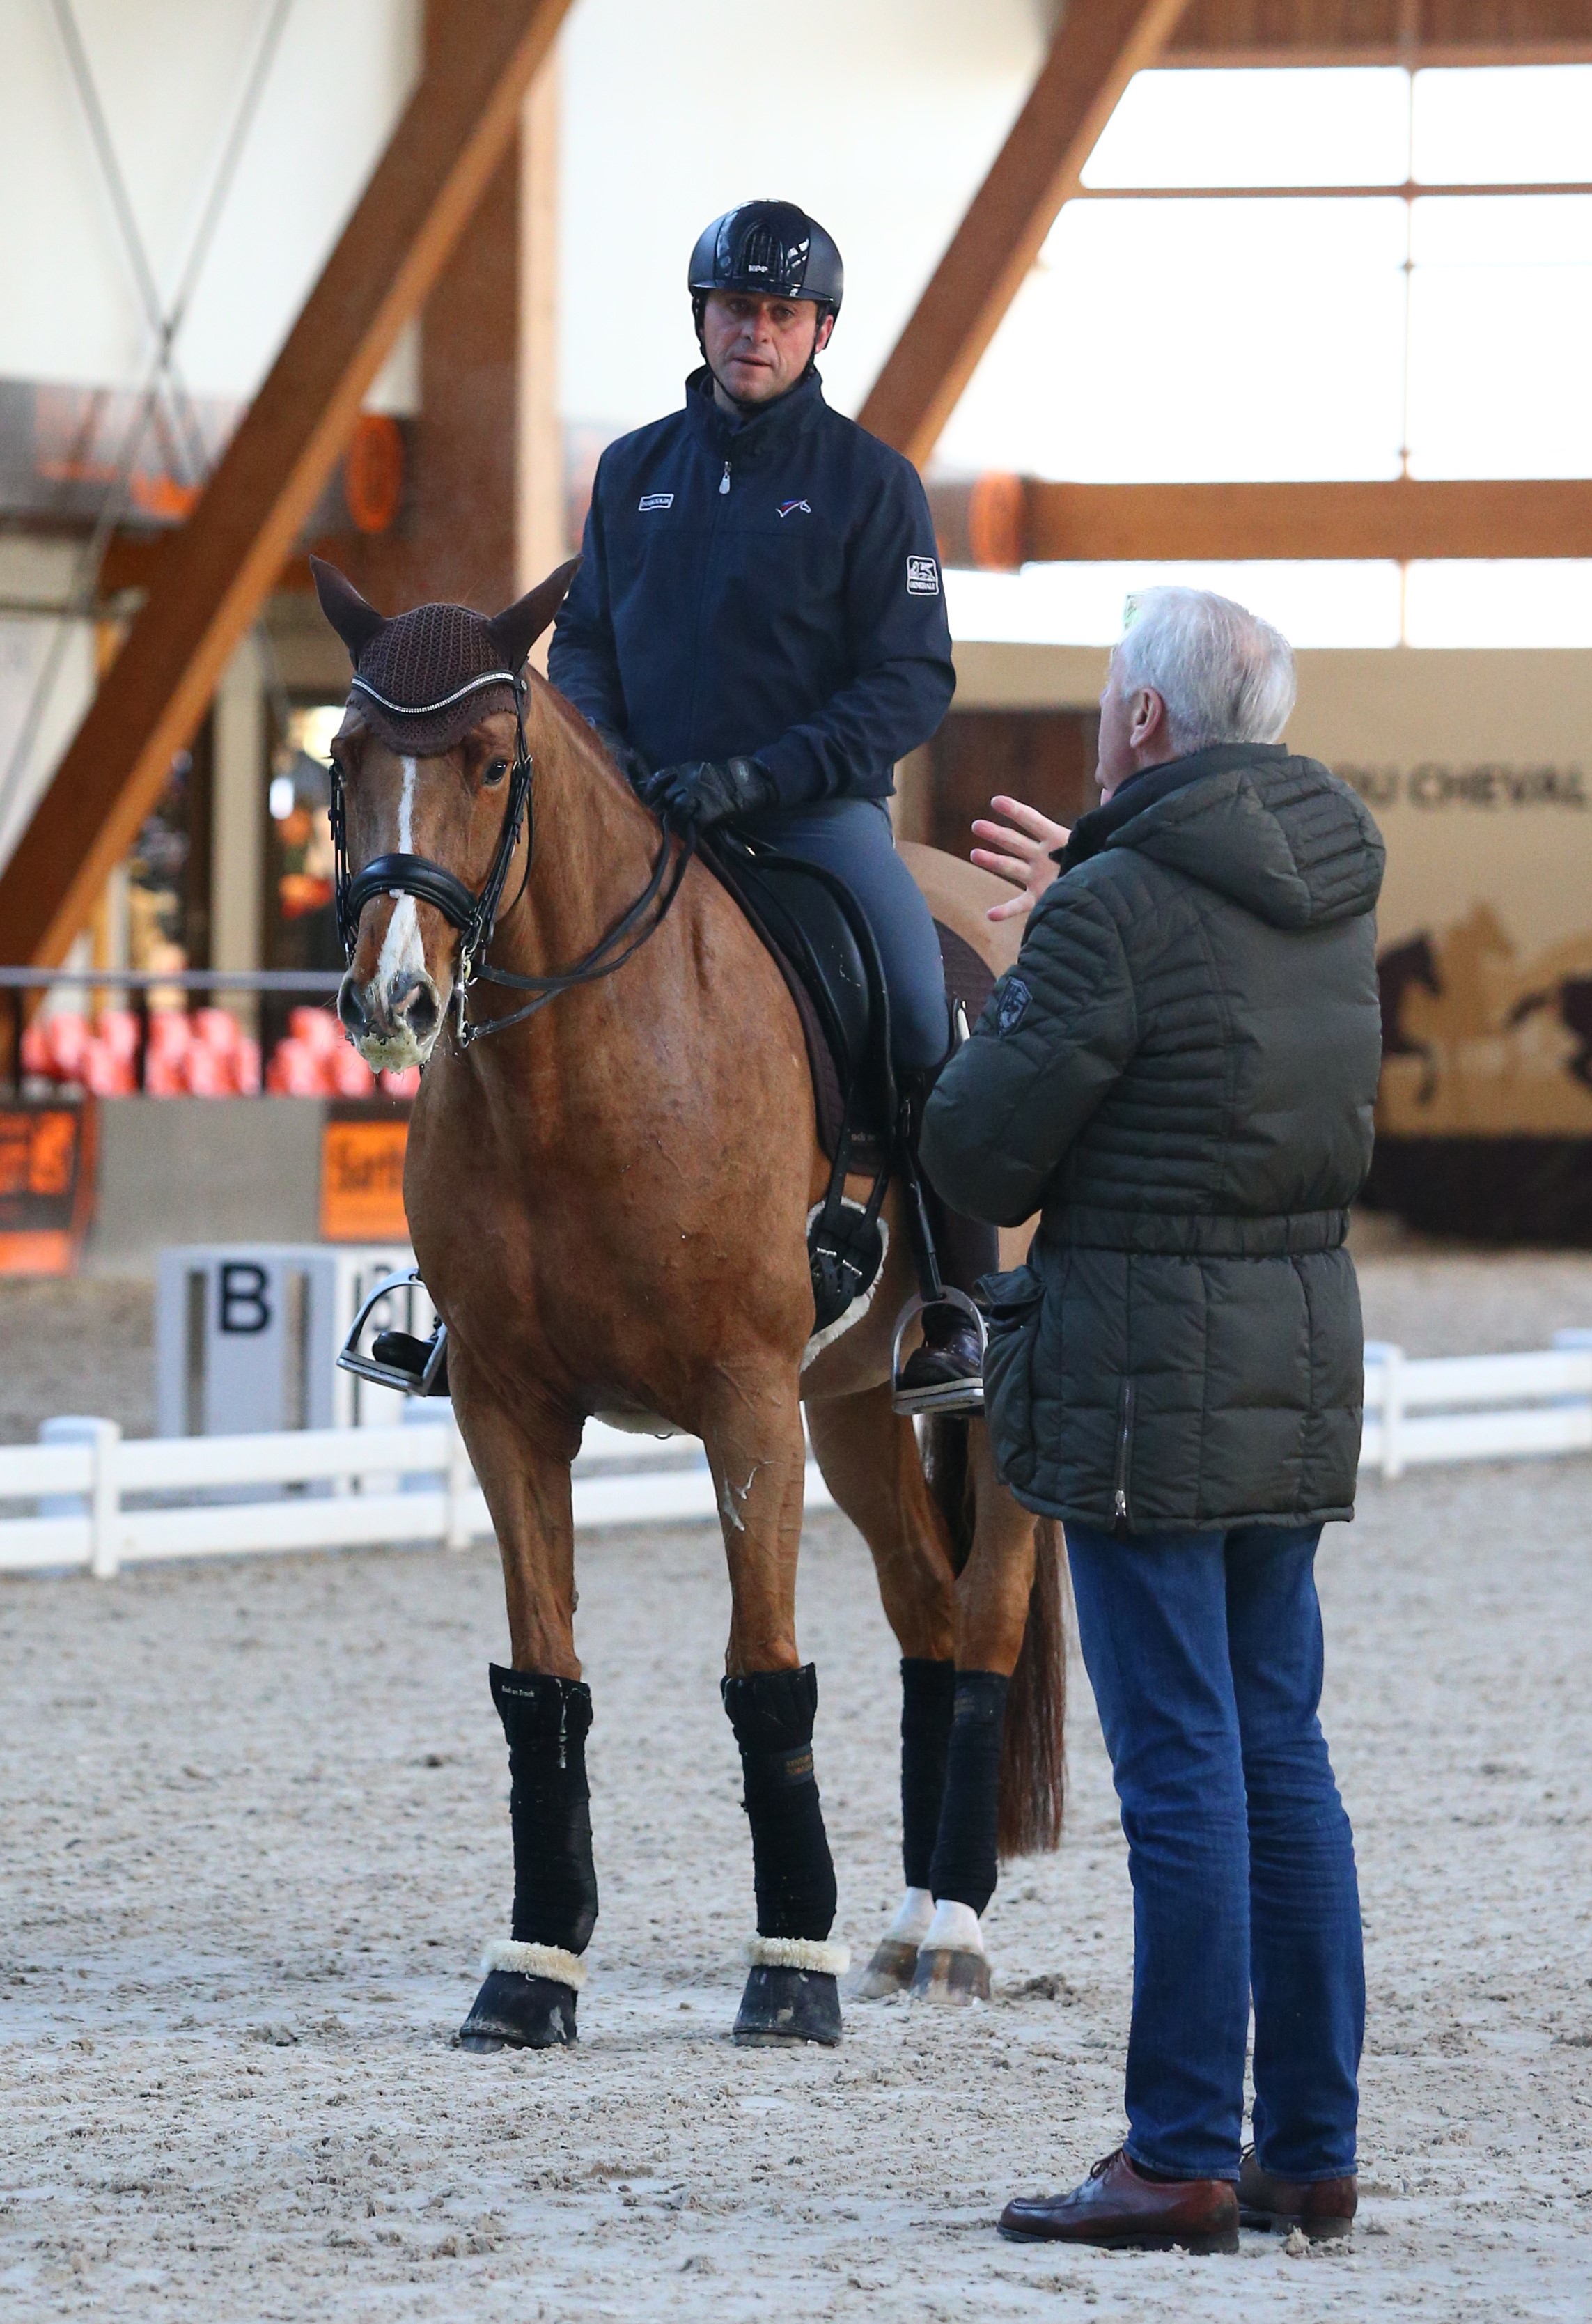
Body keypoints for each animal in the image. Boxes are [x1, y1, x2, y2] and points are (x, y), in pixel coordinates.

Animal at [315, 562, 1059, 2054]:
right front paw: (533, 1970)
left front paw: (789, 1972)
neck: (574, 1068)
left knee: (988, 1621)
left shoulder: (743, 1400)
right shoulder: (507, 1408)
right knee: (927, 1613)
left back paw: (952, 1929)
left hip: (971, 1402)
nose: (393, 1000)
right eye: (344, 759)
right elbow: (543, 1682)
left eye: (493, 765)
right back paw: (904, 1925)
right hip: (852, 1405)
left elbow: (764, 1673)